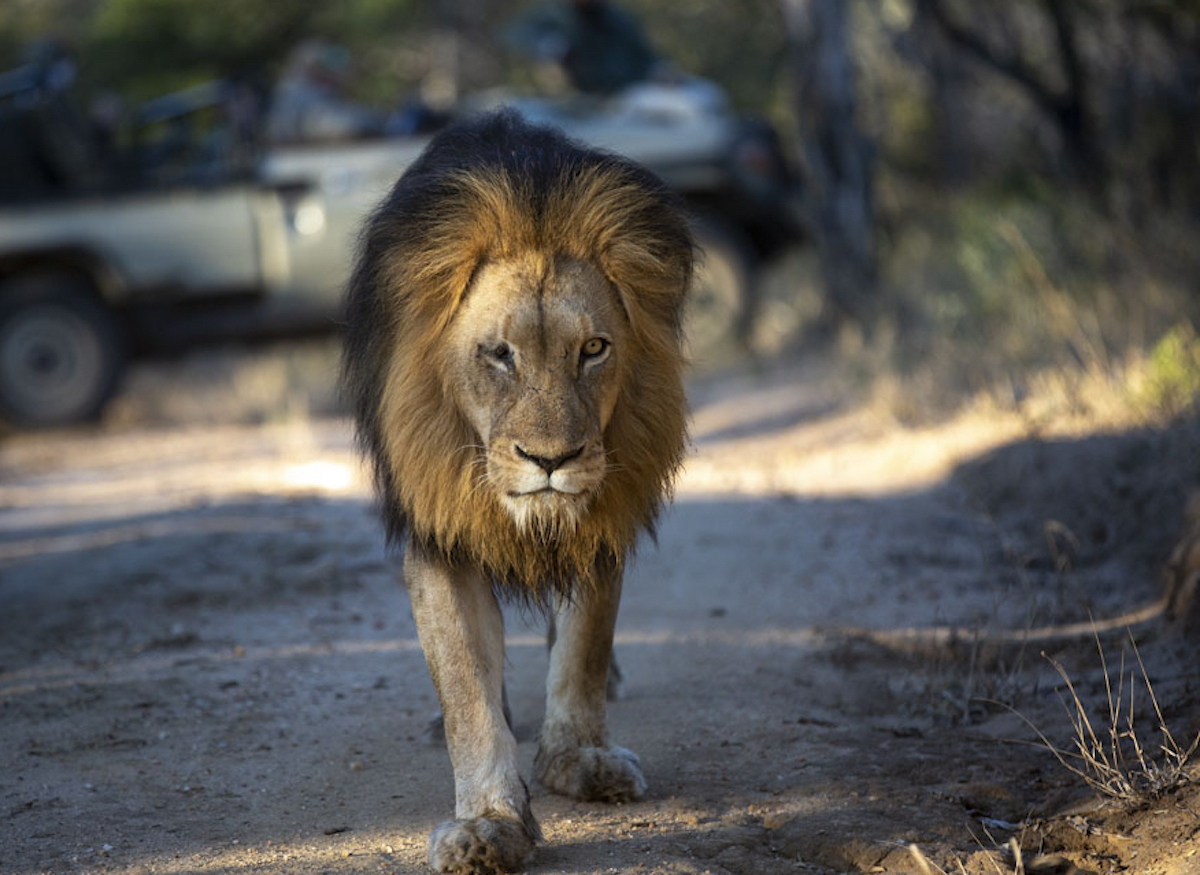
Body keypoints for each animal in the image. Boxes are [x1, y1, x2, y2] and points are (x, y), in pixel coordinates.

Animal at [342, 110, 692, 873]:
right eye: (499, 354)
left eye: (593, 348)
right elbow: (468, 689)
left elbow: (584, 644)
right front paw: (489, 823)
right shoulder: (440, 531)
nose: (552, 459)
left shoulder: (603, 513)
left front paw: (579, 758)